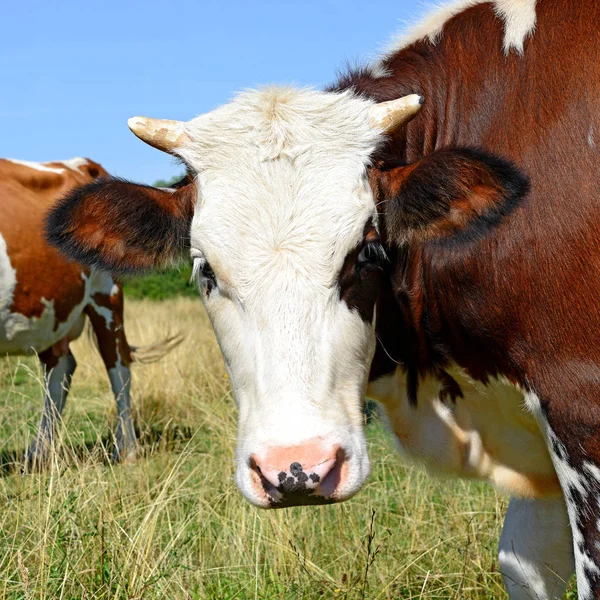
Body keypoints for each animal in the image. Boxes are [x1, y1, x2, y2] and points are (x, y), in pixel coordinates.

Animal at [0, 157, 179, 462]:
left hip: (107, 297)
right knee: (59, 368)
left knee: (118, 366)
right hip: (52, 311)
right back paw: (39, 452)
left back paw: (127, 449)